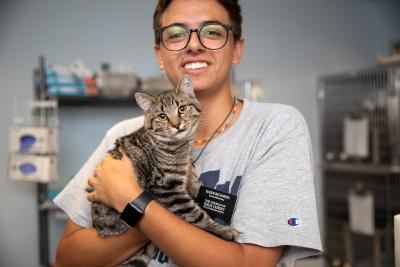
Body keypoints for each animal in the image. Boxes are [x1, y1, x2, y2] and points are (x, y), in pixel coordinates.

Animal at [89, 74, 239, 266]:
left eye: (182, 109)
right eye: (162, 116)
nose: (177, 124)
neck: (180, 148)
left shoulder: (185, 175)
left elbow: (197, 185)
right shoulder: (167, 188)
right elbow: (196, 214)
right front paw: (221, 229)